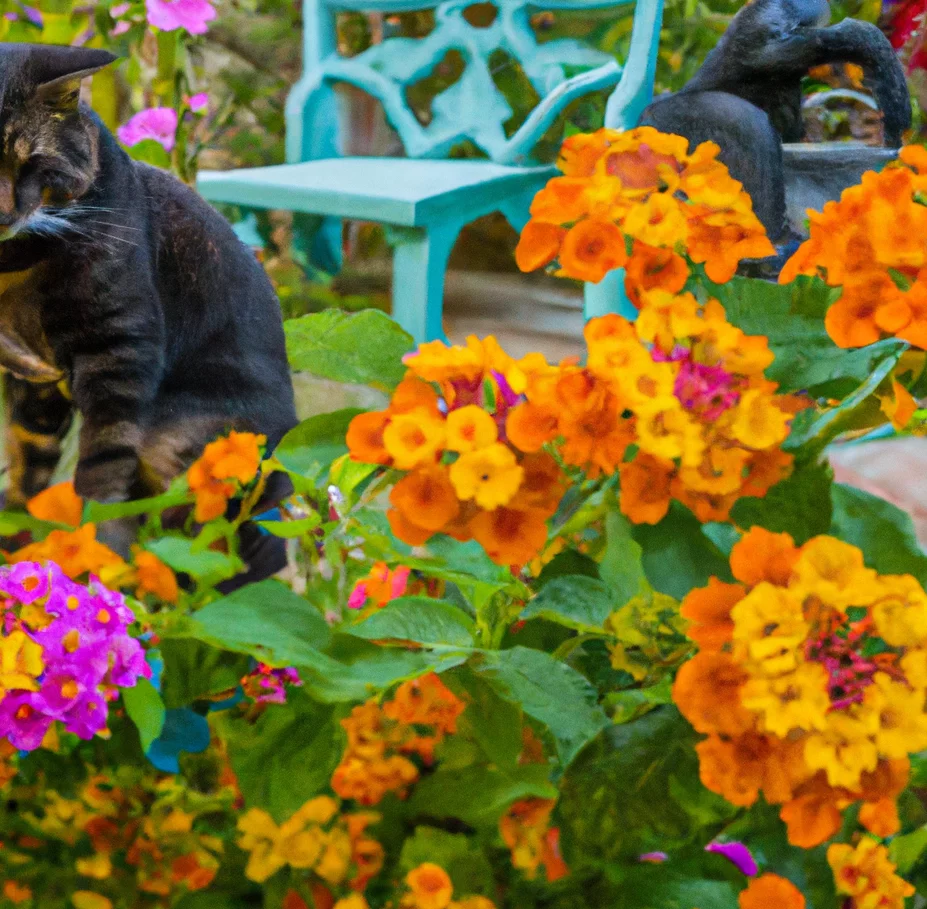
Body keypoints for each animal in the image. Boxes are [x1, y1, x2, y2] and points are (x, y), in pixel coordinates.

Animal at [0, 40, 298, 580]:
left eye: (33, 164)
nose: (5, 213)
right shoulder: (32, 382)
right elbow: (28, 467)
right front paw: (16, 545)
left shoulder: (120, 344)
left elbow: (101, 470)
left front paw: (95, 565)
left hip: (186, 439)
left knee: (229, 543)